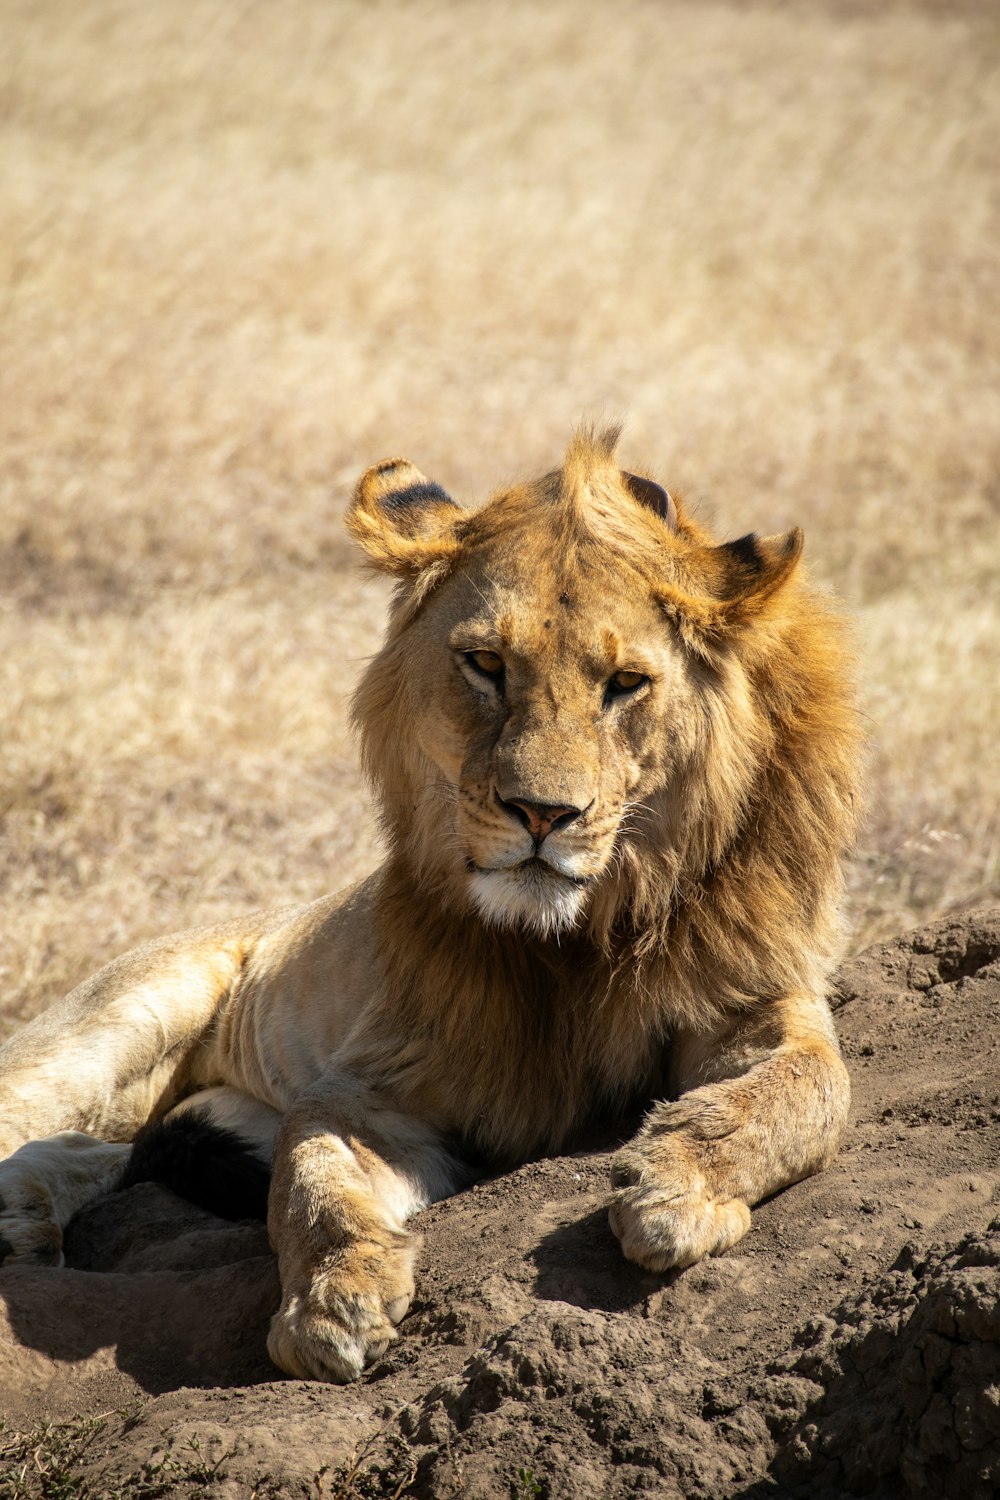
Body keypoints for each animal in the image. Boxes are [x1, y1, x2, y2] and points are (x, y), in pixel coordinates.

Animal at [0, 426, 863, 1380]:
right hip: (113, 1026)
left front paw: (676, 1186)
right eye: (486, 665)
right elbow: (310, 1174)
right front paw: (331, 1300)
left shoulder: (758, 1001)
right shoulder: (378, 1083)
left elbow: (806, 1089)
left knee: (106, 1151)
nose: (542, 814)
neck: (573, 943)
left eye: (625, 683)